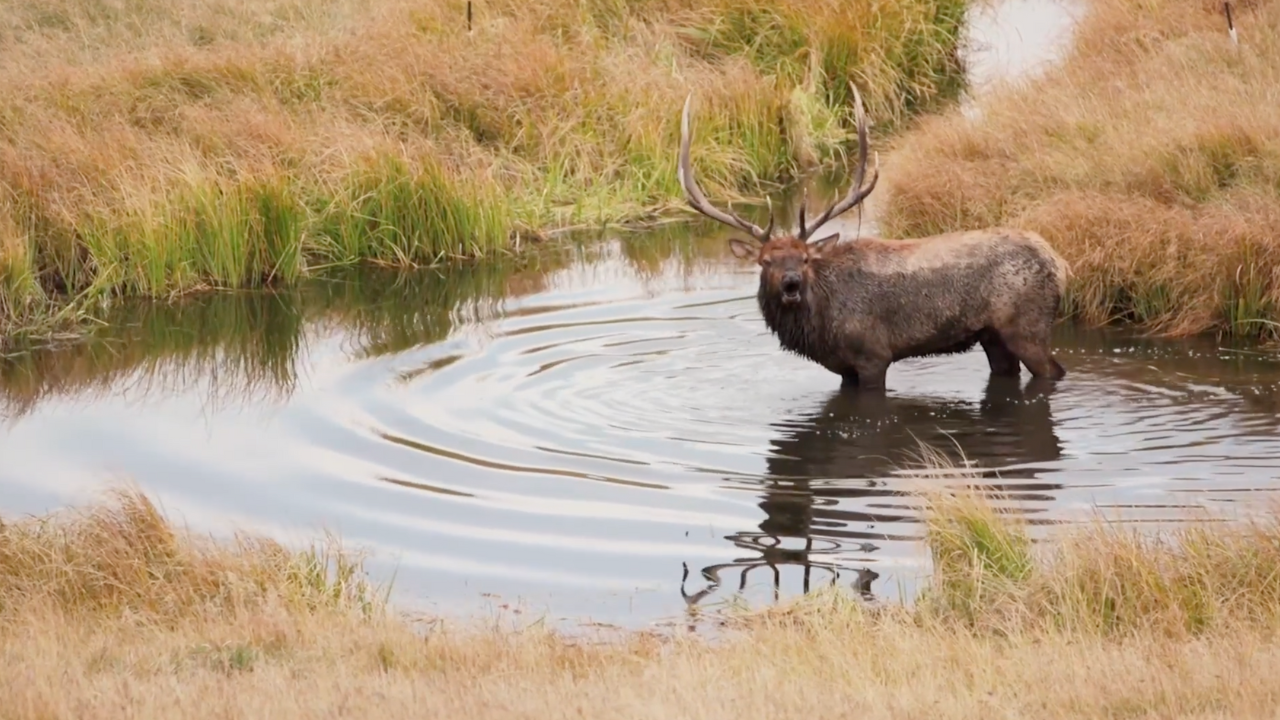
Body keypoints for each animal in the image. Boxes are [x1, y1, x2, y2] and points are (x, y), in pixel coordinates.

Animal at [680, 83, 1070, 389]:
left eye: (804, 259)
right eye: (765, 262)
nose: (791, 284)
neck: (821, 325)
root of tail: (1059, 264)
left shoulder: (872, 355)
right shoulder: (843, 368)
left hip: (1027, 325)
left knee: (1054, 370)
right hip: (992, 336)